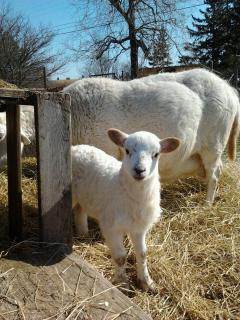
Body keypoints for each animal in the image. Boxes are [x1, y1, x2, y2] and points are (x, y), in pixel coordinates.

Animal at [71, 129, 180, 292]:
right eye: (127, 150)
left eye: (156, 154)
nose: (139, 170)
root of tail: (76, 147)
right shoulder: (111, 227)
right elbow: (120, 257)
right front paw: (123, 284)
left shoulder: (139, 227)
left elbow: (143, 254)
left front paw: (146, 282)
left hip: (84, 195)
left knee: (80, 210)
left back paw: (83, 234)